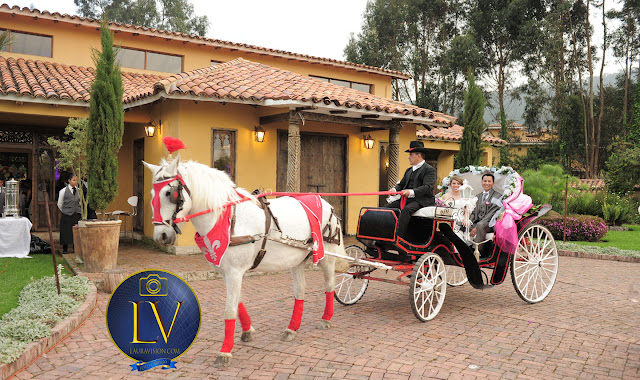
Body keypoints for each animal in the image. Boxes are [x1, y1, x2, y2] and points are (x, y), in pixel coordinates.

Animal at [144, 155, 344, 368]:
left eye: (169, 193)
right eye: (152, 194)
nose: (161, 236)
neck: (227, 220)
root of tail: (326, 204)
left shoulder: (234, 271)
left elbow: (230, 310)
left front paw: (225, 351)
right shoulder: (227, 271)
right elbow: (238, 302)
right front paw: (248, 330)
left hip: (327, 256)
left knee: (329, 285)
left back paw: (326, 319)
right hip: (296, 260)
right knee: (300, 291)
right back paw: (292, 328)